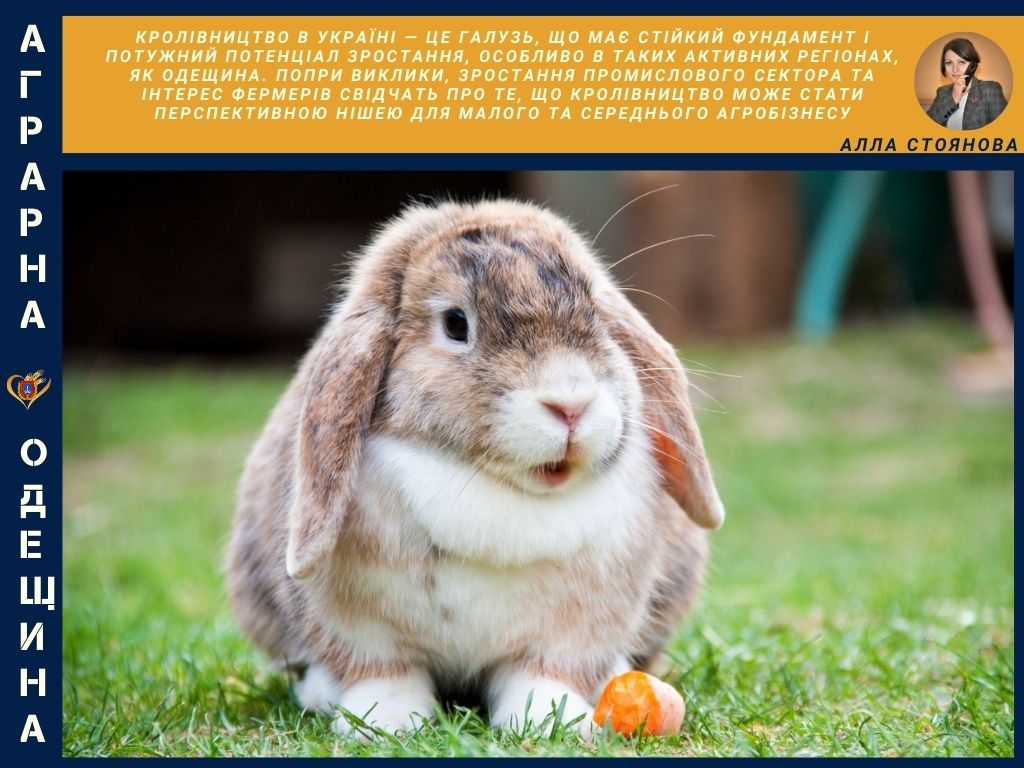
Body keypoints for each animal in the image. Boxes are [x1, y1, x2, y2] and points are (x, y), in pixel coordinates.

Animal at [226, 199, 725, 738]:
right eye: (455, 323)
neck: (494, 487)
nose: (570, 405)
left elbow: (543, 675)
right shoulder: (361, 630)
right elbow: (383, 673)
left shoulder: (571, 633)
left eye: (595, 310)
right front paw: (385, 722)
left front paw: (551, 722)